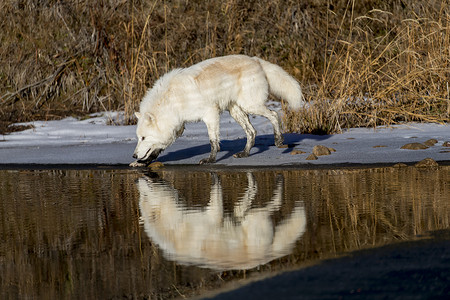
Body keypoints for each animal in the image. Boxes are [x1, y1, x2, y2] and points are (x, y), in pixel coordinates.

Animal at [132, 54, 304, 166]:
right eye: (138, 138)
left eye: (143, 138)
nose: (133, 155)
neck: (172, 100)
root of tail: (256, 60)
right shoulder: (177, 126)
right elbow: (158, 147)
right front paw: (142, 162)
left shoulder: (210, 113)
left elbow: (213, 140)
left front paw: (210, 160)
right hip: (236, 111)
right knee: (252, 131)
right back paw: (244, 153)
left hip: (251, 106)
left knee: (274, 115)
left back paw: (279, 140)